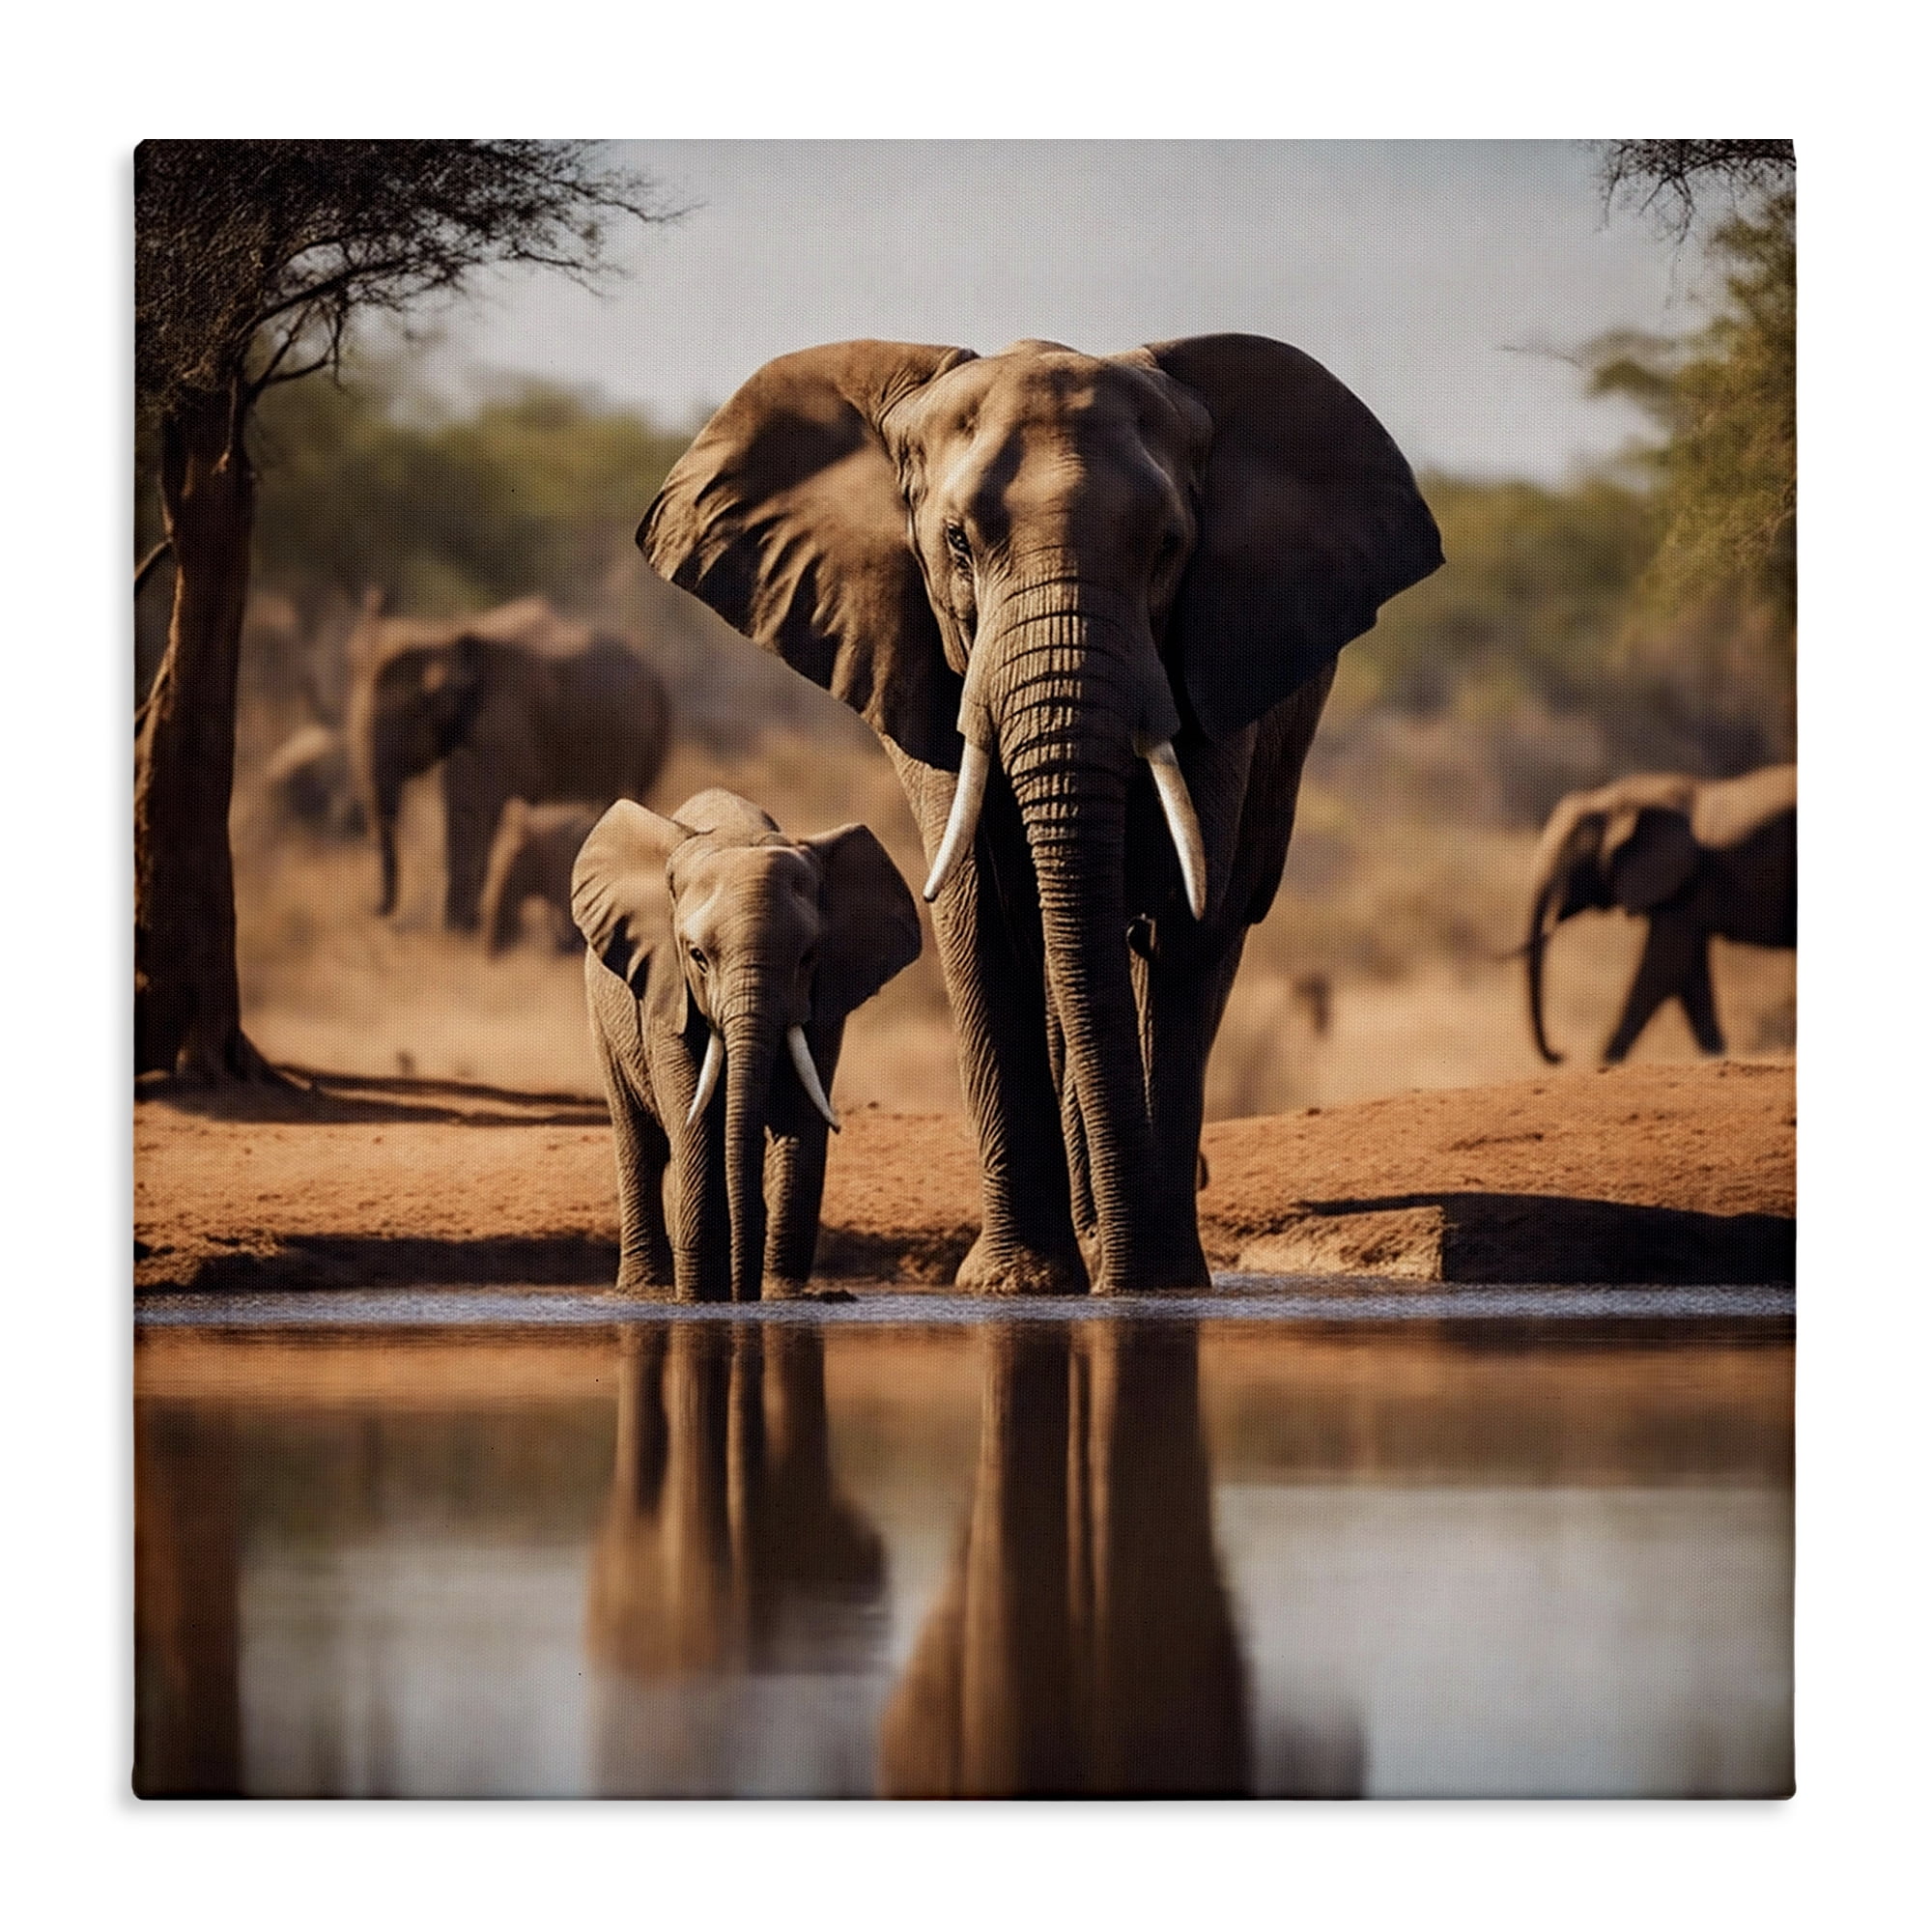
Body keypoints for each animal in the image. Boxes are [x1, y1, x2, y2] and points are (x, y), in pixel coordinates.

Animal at [345, 596, 672, 931]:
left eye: (411, 710)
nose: (373, 911)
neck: (441, 635)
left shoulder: (501, 727)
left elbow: (472, 809)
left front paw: (458, 928)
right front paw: (463, 926)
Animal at [571, 787, 923, 1303]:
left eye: (808, 957)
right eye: (697, 956)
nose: (743, 1292)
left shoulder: (826, 997)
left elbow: (801, 1115)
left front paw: (783, 1297)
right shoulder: (666, 985)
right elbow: (693, 1117)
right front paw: (701, 1298)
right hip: (604, 1015)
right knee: (640, 1142)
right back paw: (646, 1290)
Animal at [640, 334, 1441, 1294]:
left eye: (1168, 547)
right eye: (956, 542)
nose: (1123, 1275)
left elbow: (1182, 917)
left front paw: (1158, 1281)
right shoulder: (924, 665)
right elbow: (982, 911)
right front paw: (1019, 1284)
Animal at [1523, 763, 1796, 1065]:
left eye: (1570, 860)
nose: (1562, 1054)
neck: (1620, 796)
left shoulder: (1683, 881)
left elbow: (1663, 965)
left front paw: (1604, 1063)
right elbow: (1688, 973)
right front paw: (1716, 1057)